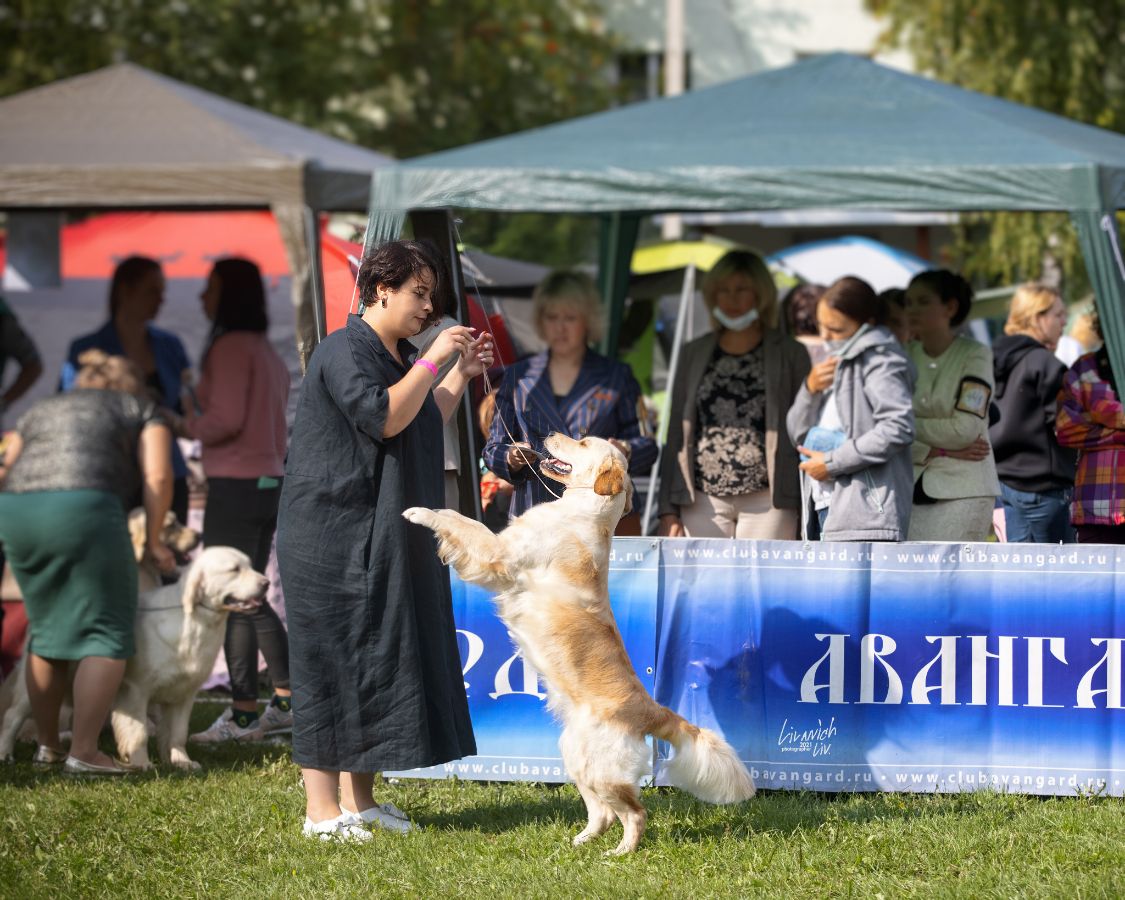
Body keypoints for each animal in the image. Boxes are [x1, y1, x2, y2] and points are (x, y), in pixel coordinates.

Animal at [0, 544, 267, 769]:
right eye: (234, 569)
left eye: (250, 565)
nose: (267, 583)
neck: (194, 622)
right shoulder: (135, 690)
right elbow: (138, 731)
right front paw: (141, 764)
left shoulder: (184, 694)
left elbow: (177, 733)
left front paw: (182, 762)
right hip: (33, 683)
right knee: (13, 716)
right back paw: (5, 753)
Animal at [405, 432, 756, 855]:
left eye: (584, 441)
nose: (548, 435)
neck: (584, 510)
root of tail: (652, 710)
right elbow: (460, 519)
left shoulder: (498, 553)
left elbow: (463, 522)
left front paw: (419, 511)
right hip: (576, 755)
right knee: (603, 813)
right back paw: (581, 841)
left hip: (602, 769)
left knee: (634, 813)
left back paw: (620, 853)